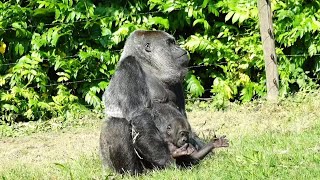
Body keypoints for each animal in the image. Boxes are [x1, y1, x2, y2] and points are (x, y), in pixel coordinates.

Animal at [100, 29, 205, 174]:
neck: (148, 65)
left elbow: (183, 115)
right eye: (170, 43)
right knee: (117, 124)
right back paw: (130, 173)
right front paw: (167, 160)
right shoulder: (128, 66)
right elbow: (139, 115)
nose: (180, 48)